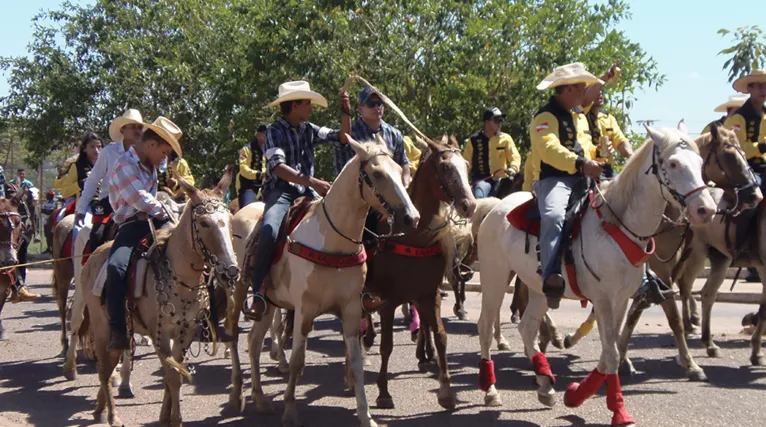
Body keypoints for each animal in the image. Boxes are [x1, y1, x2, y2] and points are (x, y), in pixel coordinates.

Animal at [77, 169, 240, 426]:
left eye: (231, 221)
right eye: (204, 222)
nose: (231, 270)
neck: (180, 277)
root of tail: (93, 256)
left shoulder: (185, 333)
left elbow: (174, 374)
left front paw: (165, 416)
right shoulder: (159, 334)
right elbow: (173, 376)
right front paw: (175, 419)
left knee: (110, 363)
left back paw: (100, 408)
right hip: (102, 325)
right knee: (104, 367)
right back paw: (112, 415)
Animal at [228, 135, 420, 427]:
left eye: (400, 171)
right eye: (377, 173)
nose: (412, 217)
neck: (333, 241)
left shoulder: (351, 310)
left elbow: (356, 362)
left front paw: (365, 415)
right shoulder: (304, 311)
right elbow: (297, 360)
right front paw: (290, 411)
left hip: (269, 302)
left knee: (253, 341)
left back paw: (260, 399)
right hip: (239, 287)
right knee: (233, 332)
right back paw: (237, 391)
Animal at [476, 126, 716, 427]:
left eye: (700, 163)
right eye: (673, 164)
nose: (706, 210)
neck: (618, 225)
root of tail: (496, 206)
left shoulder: (621, 300)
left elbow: (608, 352)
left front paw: (576, 394)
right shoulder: (602, 299)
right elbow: (611, 354)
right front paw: (619, 411)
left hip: (539, 289)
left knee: (527, 328)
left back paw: (545, 385)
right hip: (495, 278)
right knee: (485, 328)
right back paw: (491, 391)